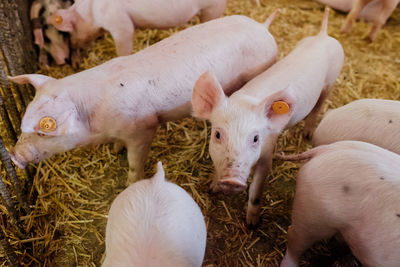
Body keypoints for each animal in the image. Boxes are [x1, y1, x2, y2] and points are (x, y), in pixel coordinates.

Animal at [7, 12, 280, 184]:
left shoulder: (143, 128)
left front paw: (129, 183)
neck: (95, 117)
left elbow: (134, 162)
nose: (14, 156)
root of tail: (264, 27)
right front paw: (115, 149)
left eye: (44, 130)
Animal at [191, 7, 344, 227]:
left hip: (331, 82)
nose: (231, 180)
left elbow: (256, 189)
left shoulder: (268, 152)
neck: (245, 101)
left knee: (318, 107)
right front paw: (212, 188)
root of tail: (323, 35)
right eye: (218, 135)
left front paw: (252, 225)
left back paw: (307, 134)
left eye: (256, 138)